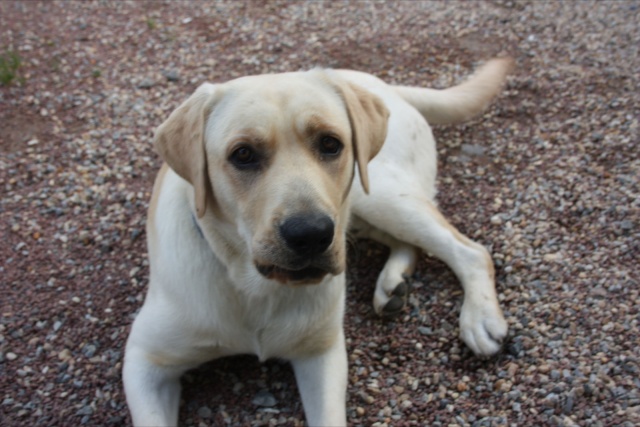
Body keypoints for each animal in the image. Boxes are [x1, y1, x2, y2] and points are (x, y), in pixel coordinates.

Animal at [124, 58, 516, 426]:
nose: (311, 234)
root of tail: (384, 85)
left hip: (376, 193)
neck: (254, 286)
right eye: (243, 154)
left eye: (330, 143)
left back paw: (479, 318)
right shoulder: (143, 361)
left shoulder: (322, 354)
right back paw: (395, 284)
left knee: (470, 250)